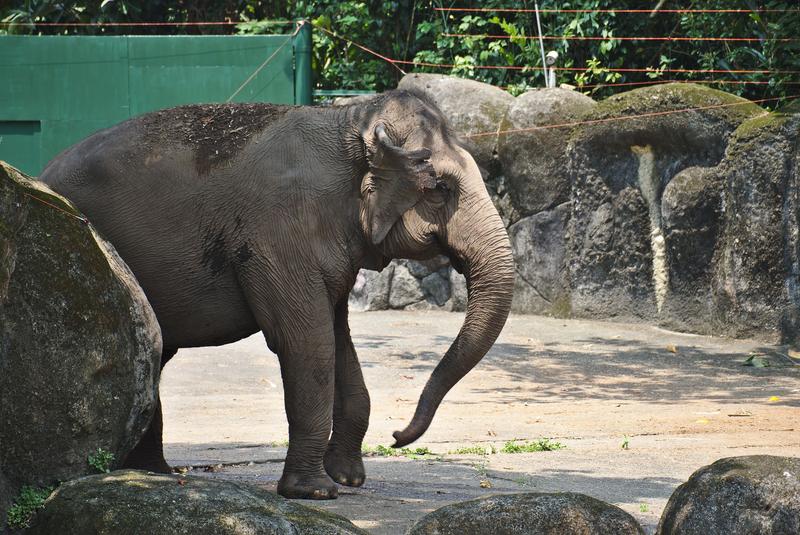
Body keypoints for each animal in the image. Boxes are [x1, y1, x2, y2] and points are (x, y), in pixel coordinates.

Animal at [39, 90, 512, 500]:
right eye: (440, 189)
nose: (397, 437)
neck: (351, 119)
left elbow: (338, 341)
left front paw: (348, 478)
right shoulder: (279, 231)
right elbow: (306, 343)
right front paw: (316, 491)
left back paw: (153, 473)